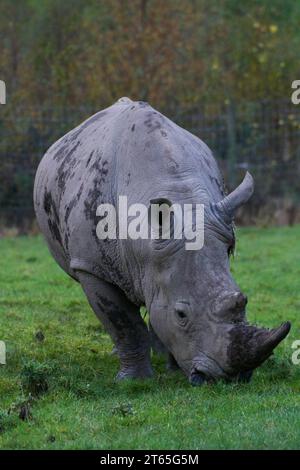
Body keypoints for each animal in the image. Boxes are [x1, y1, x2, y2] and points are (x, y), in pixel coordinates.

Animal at [34, 97, 290, 384]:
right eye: (181, 314)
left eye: (244, 301)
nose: (230, 379)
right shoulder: (91, 266)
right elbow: (123, 322)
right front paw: (133, 381)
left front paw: (173, 369)